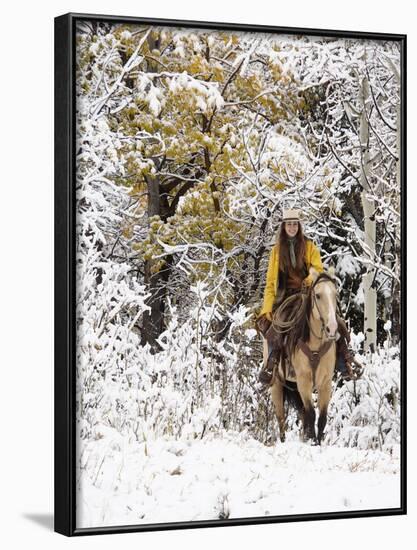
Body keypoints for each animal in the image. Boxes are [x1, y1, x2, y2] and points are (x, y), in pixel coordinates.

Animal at [266, 270, 338, 446]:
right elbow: (311, 414)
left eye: (335, 294)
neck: (315, 345)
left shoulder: (325, 383)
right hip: (277, 385)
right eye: (318, 295)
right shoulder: (304, 381)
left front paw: (316, 442)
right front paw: (312, 442)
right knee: (281, 419)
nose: (332, 328)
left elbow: (322, 417)